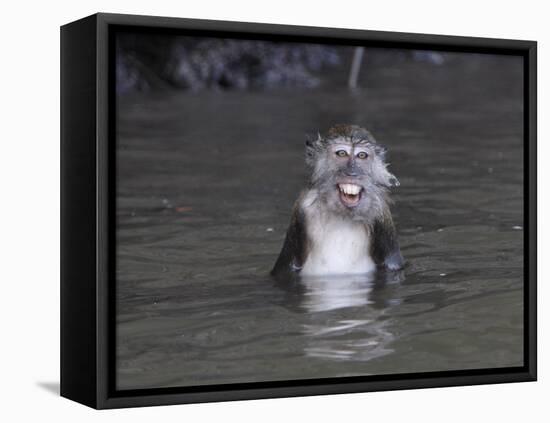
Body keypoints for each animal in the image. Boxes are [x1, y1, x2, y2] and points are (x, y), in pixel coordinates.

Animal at [272, 124, 406, 280]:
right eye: (342, 153)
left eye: (362, 155)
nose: (352, 173)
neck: (343, 215)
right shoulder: (301, 208)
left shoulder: (381, 214)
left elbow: (393, 265)